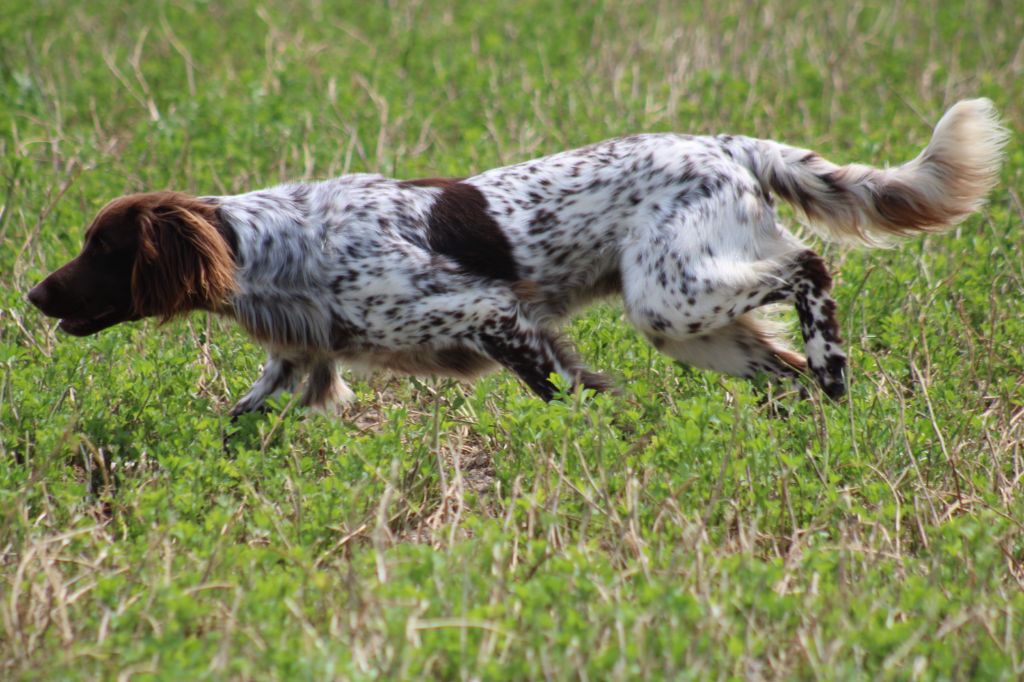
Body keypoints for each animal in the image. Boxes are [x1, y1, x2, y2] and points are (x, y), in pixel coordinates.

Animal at [28, 98, 1003, 411]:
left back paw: (837, 369)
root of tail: (726, 144)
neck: (271, 247)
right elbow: (242, 414)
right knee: (785, 366)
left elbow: (560, 389)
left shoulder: (489, 313)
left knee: (811, 270)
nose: (34, 295)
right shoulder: (300, 359)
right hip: (694, 327)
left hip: (670, 296)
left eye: (98, 247)